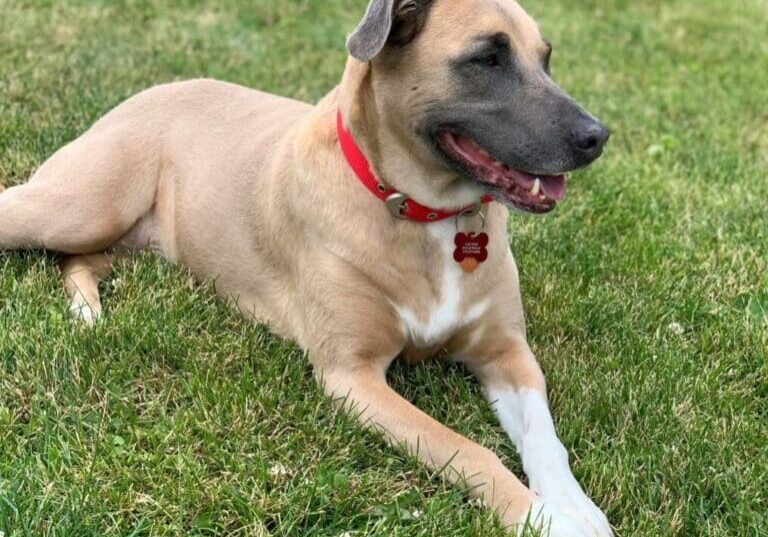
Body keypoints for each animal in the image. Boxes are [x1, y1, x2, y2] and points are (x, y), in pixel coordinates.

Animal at [0, 0, 612, 532]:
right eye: (487, 58)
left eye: (546, 58)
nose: (596, 137)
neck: (420, 212)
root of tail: (144, 93)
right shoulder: (352, 377)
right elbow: (471, 450)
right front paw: (543, 520)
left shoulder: (506, 353)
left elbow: (546, 440)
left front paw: (578, 508)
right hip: (80, 206)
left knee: (79, 260)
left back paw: (86, 309)